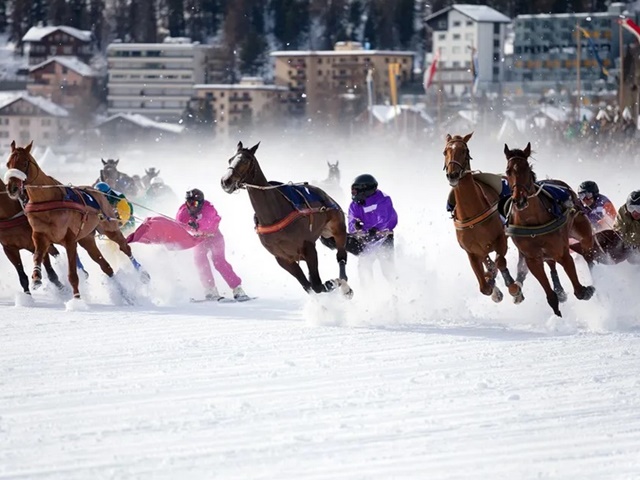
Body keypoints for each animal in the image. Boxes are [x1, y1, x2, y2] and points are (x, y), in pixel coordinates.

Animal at [5, 141, 150, 302]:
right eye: (8, 164)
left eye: (24, 163)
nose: (12, 188)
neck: (47, 199)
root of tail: (98, 192)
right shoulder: (39, 236)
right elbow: (38, 256)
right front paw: (36, 277)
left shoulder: (69, 239)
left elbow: (72, 274)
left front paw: (76, 298)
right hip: (87, 239)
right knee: (105, 266)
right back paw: (125, 295)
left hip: (110, 228)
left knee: (124, 247)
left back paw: (142, 273)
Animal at [219, 141, 350, 296]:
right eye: (230, 160)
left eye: (245, 160)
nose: (225, 181)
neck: (274, 215)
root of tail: (325, 195)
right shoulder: (283, 259)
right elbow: (309, 286)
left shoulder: (308, 247)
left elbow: (317, 285)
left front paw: (331, 283)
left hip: (337, 228)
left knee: (341, 257)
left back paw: (344, 285)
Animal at [442, 133, 524, 302]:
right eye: (445, 152)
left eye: (464, 151)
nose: (452, 175)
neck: (471, 213)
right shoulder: (471, 251)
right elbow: (484, 286)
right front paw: (493, 288)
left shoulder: (501, 238)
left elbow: (499, 261)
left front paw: (513, 288)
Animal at [502, 141, 596, 316]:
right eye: (508, 171)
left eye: (527, 169)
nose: (519, 200)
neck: (533, 223)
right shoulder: (532, 258)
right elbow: (548, 291)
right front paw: (555, 300)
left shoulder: (562, 251)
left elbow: (579, 290)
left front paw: (586, 290)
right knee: (552, 263)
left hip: (581, 228)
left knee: (588, 253)